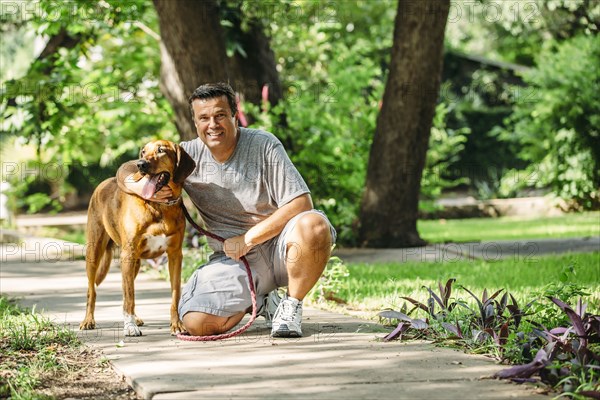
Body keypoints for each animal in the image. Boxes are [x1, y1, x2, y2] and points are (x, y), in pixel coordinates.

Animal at [79, 140, 196, 334]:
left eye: (161, 150)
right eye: (142, 151)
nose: (140, 164)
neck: (159, 205)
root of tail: (104, 182)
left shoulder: (175, 255)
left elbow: (175, 294)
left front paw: (177, 324)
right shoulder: (128, 254)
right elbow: (129, 295)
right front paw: (130, 327)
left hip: (135, 263)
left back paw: (136, 318)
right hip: (95, 252)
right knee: (92, 290)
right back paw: (88, 320)